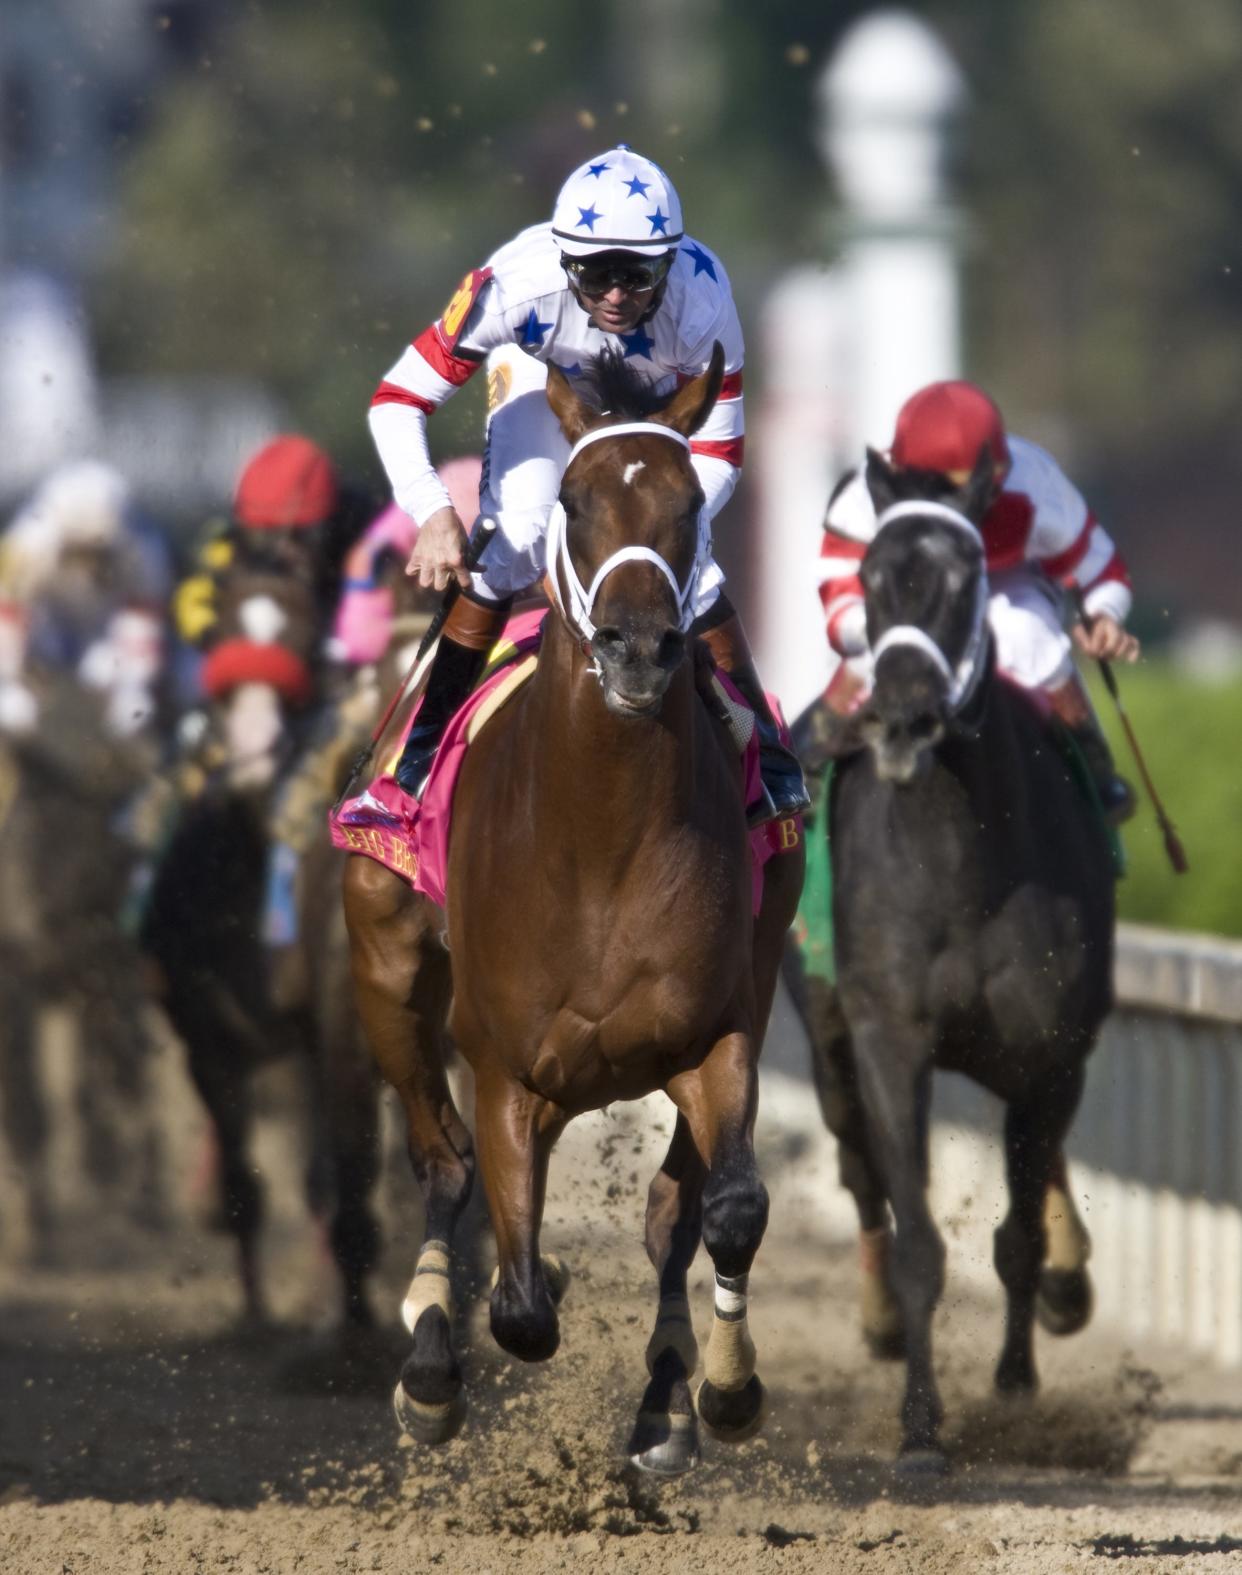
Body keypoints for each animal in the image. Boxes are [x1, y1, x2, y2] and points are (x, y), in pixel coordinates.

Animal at [793, 450, 1114, 1467]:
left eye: (965, 575)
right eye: (870, 576)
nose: (902, 719)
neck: (961, 859)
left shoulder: (1050, 1047)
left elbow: (1015, 1235)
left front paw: (1014, 1385)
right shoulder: (889, 1036)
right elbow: (917, 1239)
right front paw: (921, 1425)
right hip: (825, 1032)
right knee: (858, 1170)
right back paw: (880, 1322)